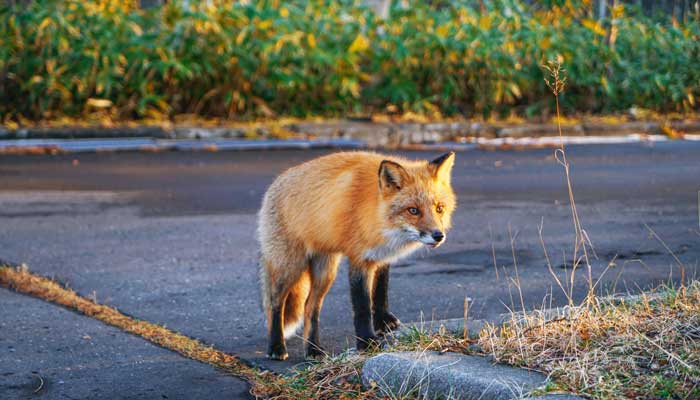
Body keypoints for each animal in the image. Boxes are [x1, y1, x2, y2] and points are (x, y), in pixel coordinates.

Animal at [256, 150, 454, 360]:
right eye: (413, 210)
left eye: (439, 208)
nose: (438, 236)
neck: (377, 216)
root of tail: (275, 183)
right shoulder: (359, 259)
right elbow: (362, 306)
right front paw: (367, 342)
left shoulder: (381, 256)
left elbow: (380, 291)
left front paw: (383, 321)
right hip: (290, 267)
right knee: (275, 303)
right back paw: (277, 346)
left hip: (325, 272)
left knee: (310, 307)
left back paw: (313, 349)